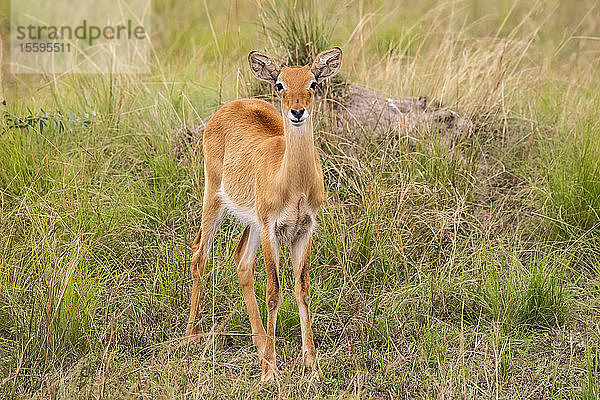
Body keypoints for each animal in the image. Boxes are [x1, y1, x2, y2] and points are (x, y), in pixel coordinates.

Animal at [185, 47, 340, 382]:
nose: (297, 112)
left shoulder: (304, 230)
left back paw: (259, 344)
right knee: (200, 253)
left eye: (312, 83)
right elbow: (273, 291)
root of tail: (231, 105)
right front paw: (270, 371)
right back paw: (192, 335)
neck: (293, 184)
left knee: (242, 261)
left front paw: (312, 366)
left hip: (252, 222)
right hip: (214, 198)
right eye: (280, 84)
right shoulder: (272, 230)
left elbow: (302, 290)